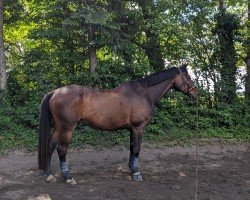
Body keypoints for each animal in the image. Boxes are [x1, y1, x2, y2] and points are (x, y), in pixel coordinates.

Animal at [37, 64, 197, 184]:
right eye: (188, 77)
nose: (197, 93)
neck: (143, 93)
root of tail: (55, 92)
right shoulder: (138, 128)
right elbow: (137, 149)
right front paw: (137, 173)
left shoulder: (132, 129)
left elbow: (132, 148)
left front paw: (132, 169)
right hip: (67, 128)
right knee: (61, 150)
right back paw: (68, 177)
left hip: (58, 128)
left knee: (50, 147)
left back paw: (49, 174)